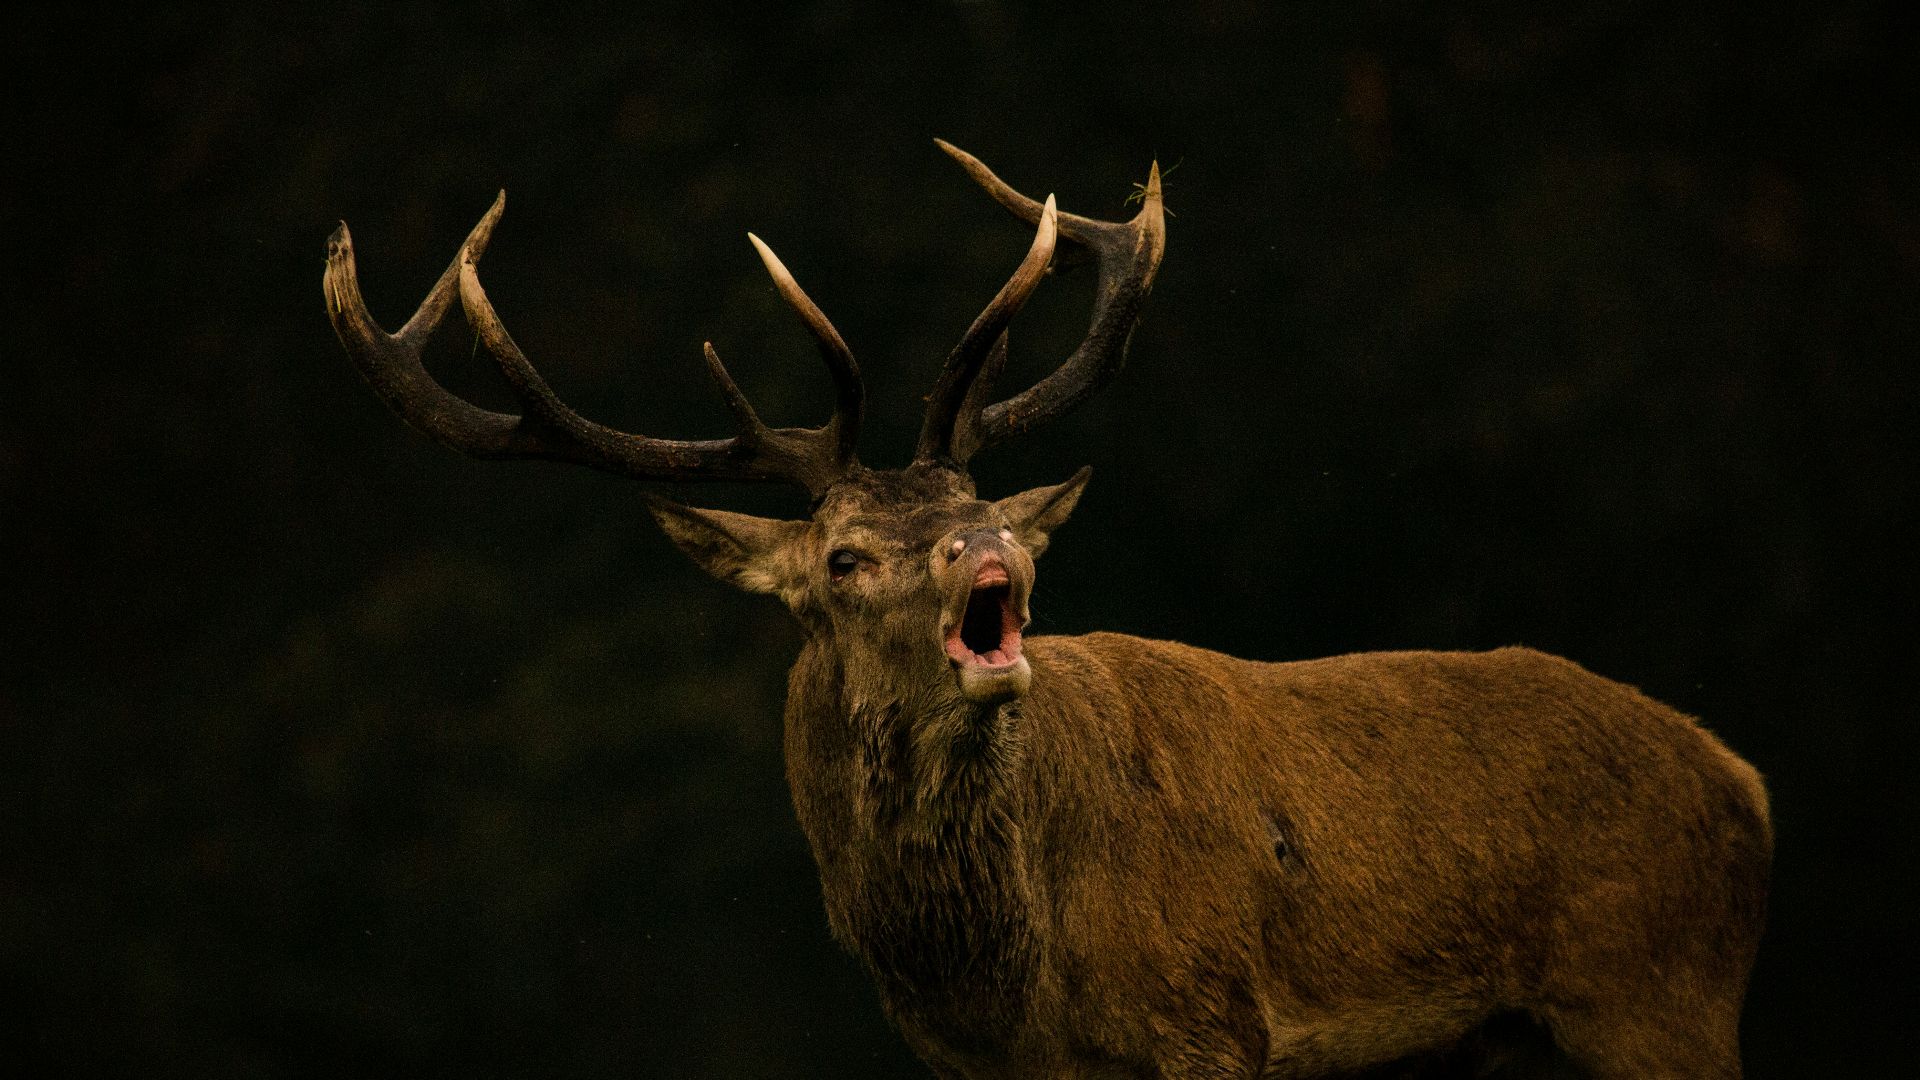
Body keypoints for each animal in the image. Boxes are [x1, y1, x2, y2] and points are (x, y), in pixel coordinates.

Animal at [323, 142, 1772, 1079]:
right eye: (844, 557)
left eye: (978, 501)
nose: (993, 553)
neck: (1008, 970)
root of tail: (1743, 785)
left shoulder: (1211, 1020)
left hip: (1652, 991)